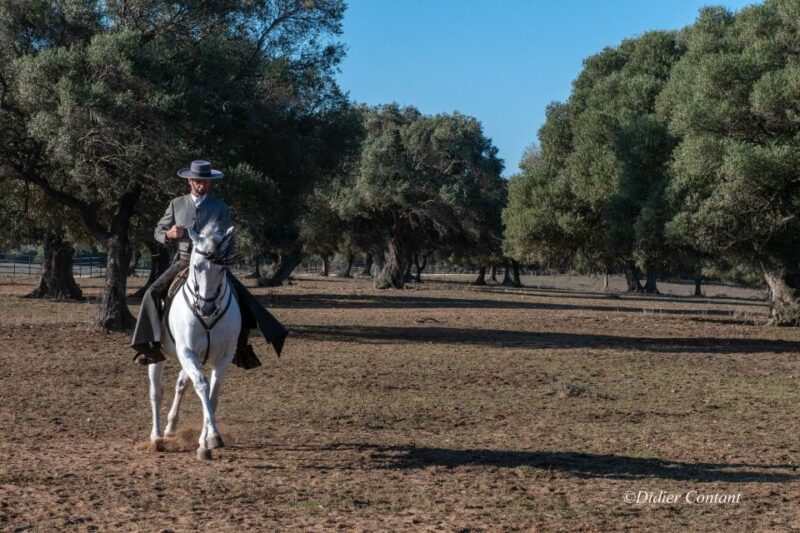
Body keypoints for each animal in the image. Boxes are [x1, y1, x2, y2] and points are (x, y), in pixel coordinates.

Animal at [148, 225, 241, 460]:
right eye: (197, 266)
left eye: (222, 269)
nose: (206, 307)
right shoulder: (187, 351)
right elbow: (202, 386)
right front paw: (204, 443)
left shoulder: (224, 356)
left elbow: (213, 394)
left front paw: (212, 437)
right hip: (157, 355)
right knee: (156, 393)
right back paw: (156, 436)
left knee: (181, 384)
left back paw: (171, 427)